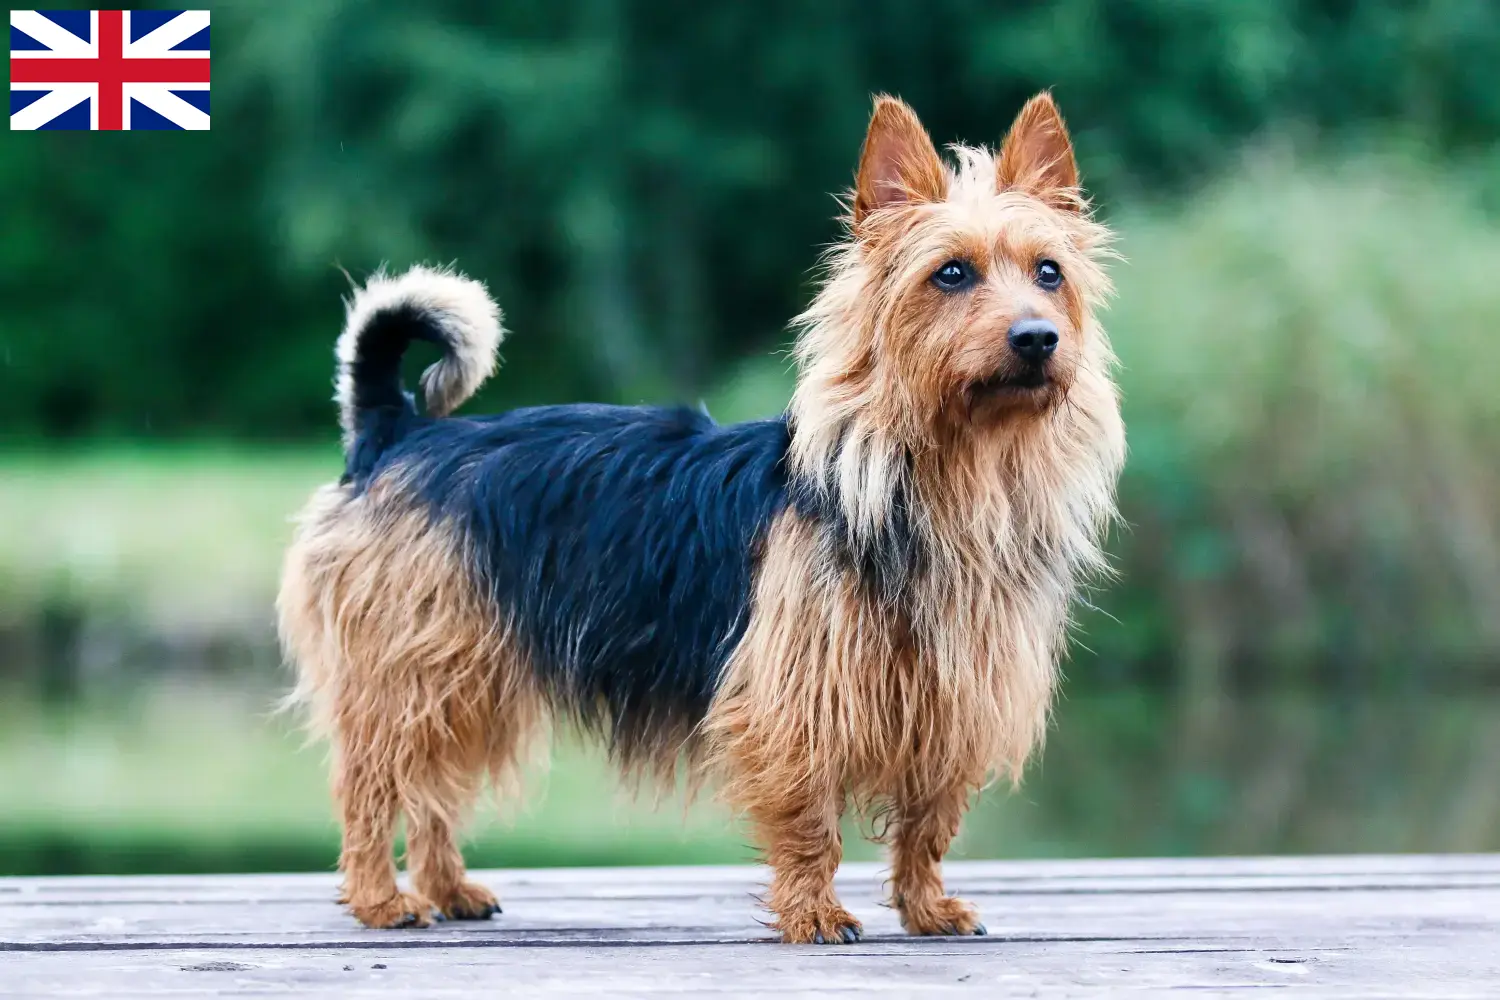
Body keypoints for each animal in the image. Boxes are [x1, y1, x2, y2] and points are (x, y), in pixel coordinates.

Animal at [282, 89, 1128, 941]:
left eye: (1049, 273)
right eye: (951, 273)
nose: (1038, 337)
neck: (947, 476)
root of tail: (396, 431)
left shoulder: (955, 700)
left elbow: (929, 819)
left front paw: (926, 905)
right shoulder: (794, 700)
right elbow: (810, 819)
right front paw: (815, 912)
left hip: (468, 679)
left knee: (434, 789)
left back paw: (448, 887)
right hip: (412, 672)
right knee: (372, 783)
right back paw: (381, 898)